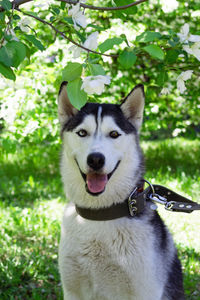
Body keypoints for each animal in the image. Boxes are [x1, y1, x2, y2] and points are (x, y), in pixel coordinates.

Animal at [57, 81, 184, 298]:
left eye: (114, 134)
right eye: (82, 133)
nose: (96, 159)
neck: (99, 215)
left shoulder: (144, 291)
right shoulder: (73, 289)